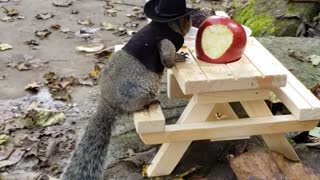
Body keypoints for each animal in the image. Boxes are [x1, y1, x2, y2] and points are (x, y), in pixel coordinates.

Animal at [60, 0, 194, 179]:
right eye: (187, 17)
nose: (191, 21)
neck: (164, 26)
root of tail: (108, 102)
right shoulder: (167, 40)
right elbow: (167, 59)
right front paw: (178, 58)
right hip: (145, 89)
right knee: (133, 108)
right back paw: (149, 103)